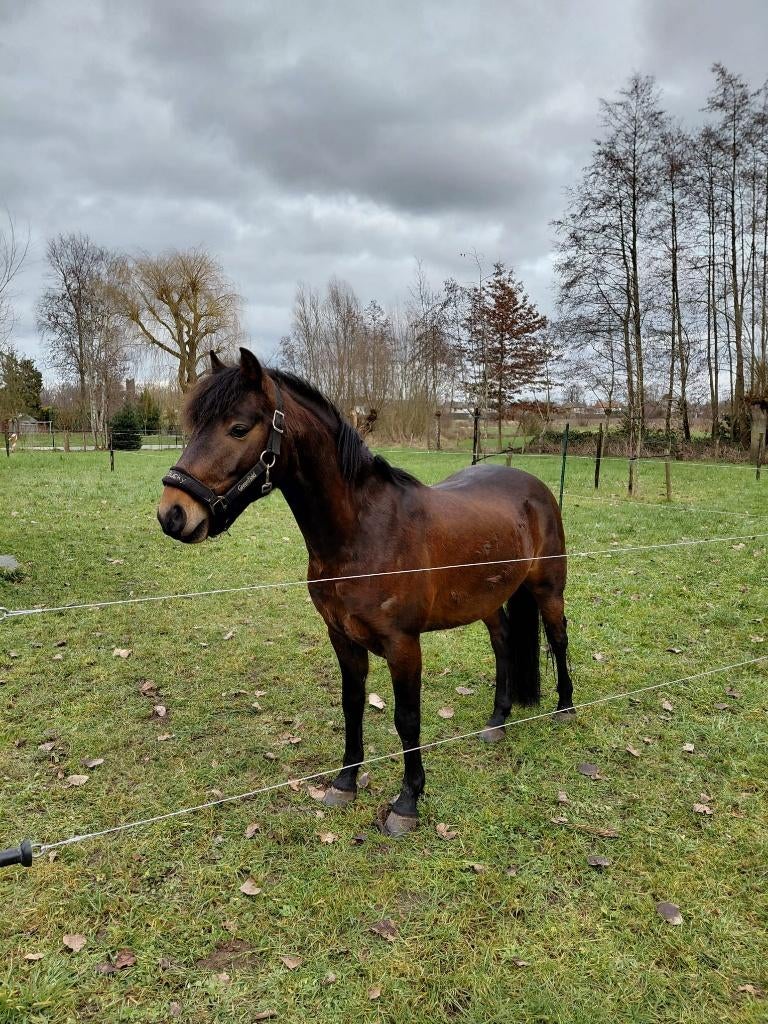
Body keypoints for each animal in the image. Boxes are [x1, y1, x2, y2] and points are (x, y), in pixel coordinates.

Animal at [157, 348, 574, 837]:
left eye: (238, 428)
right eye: (194, 426)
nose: (173, 513)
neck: (363, 532)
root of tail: (532, 485)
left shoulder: (403, 644)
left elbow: (407, 719)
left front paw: (407, 801)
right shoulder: (342, 636)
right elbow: (351, 705)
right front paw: (345, 782)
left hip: (548, 588)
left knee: (559, 638)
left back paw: (565, 708)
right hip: (488, 599)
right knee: (504, 643)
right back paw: (497, 720)